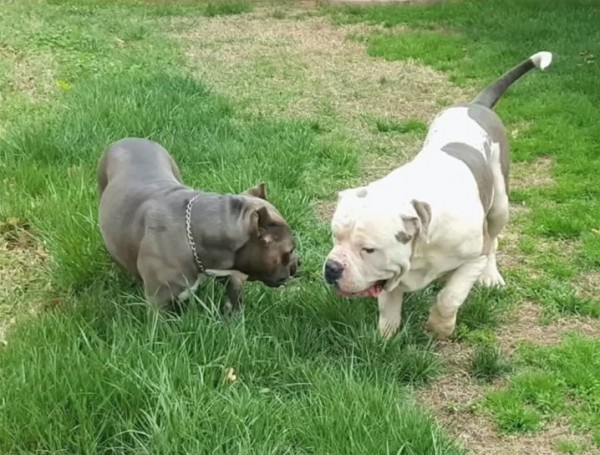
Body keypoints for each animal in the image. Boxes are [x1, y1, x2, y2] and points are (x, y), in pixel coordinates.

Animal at [97, 137, 299, 315]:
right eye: (289, 251)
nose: (299, 262)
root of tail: (129, 139)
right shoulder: (159, 303)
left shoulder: (229, 272)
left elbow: (234, 295)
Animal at [323, 51, 553, 340]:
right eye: (335, 236)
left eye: (368, 249)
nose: (331, 267)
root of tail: (477, 105)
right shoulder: (392, 275)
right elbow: (389, 309)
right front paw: (385, 339)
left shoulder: (472, 258)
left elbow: (450, 297)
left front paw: (440, 327)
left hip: (500, 204)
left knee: (494, 241)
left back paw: (490, 276)